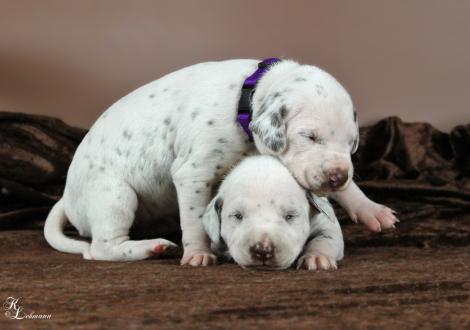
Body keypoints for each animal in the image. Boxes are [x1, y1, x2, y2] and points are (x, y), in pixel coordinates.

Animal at [202, 155, 342, 270]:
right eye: (238, 216)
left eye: (289, 216)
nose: (263, 250)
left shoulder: (326, 223)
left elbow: (325, 238)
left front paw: (317, 257)